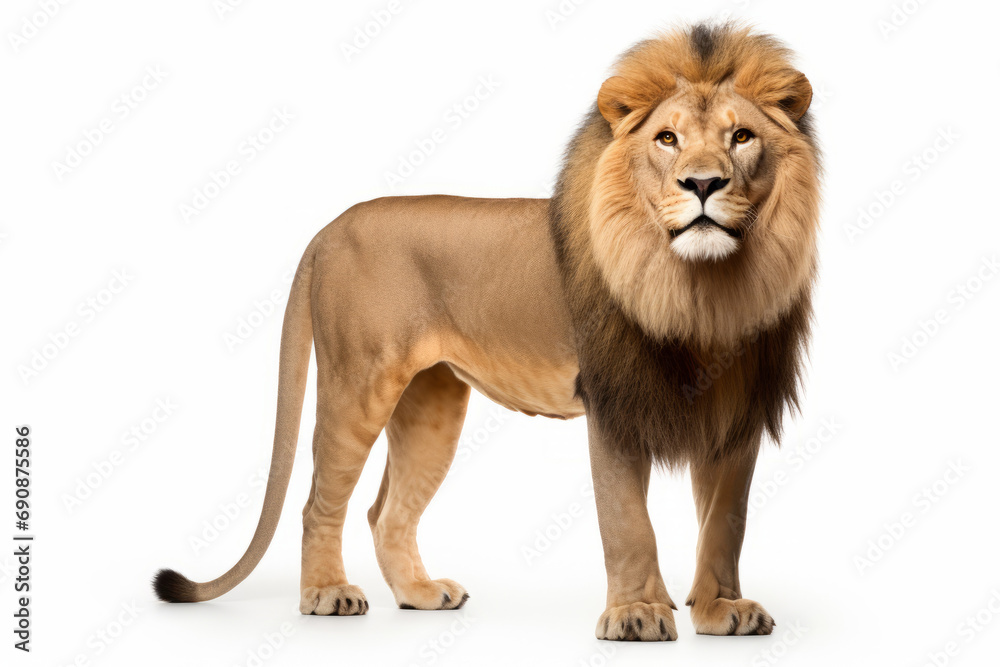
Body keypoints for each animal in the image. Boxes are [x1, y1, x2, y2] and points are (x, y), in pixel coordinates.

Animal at [153, 22, 820, 641]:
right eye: (667, 138)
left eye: (741, 137)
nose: (703, 184)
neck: (701, 289)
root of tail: (330, 228)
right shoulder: (612, 400)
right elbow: (628, 520)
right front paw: (637, 615)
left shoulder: (736, 410)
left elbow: (724, 522)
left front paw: (721, 609)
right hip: (357, 383)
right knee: (320, 501)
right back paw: (326, 593)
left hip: (431, 403)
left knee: (385, 511)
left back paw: (421, 594)